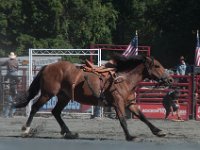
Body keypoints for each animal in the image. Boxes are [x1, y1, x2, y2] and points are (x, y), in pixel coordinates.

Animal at [14, 54, 173, 141]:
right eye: (157, 66)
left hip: (64, 97)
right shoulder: (118, 103)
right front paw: (130, 136)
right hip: (47, 94)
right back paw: (26, 129)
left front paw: (159, 131)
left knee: (56, 112)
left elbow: (143, 117)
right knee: (35, 107)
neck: (124, 79)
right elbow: (122, 120)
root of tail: (47, 66)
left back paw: (69, 133)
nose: (170, 79)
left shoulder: (130, 103)